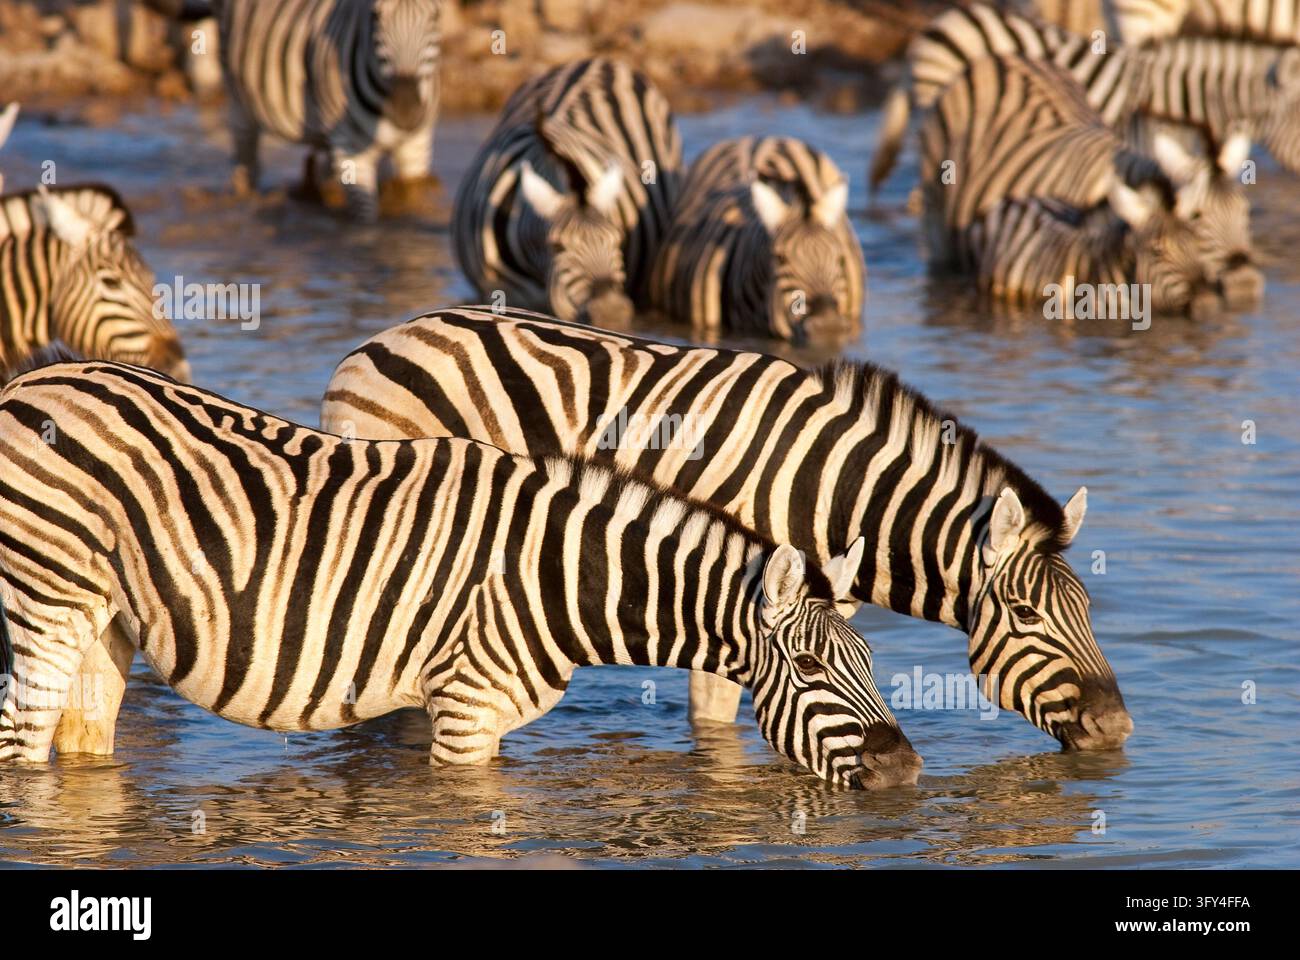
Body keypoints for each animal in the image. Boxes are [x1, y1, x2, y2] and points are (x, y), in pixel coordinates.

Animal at [0, 360, 920, 788]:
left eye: (872, 664)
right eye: (810, 667)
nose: (907, 773)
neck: (557, 575)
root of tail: (38, 377)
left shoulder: (490, 716)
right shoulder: (466, 706)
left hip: (108, 621)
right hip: (48, 601)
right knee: (20, 740)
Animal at [146, 0, 443, 221]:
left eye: (436, 17)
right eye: (376, 16)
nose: (405, 108)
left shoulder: (417, 145)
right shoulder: (351, 152)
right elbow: (366, 224)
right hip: (238, 94)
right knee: (246, 165)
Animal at [320, 306, 1134, 752]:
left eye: (1088, 610)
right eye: (1026, 615)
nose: (1120, 734)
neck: (830, 489)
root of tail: (381, 337)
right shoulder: (730, 595)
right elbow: (717, 722)